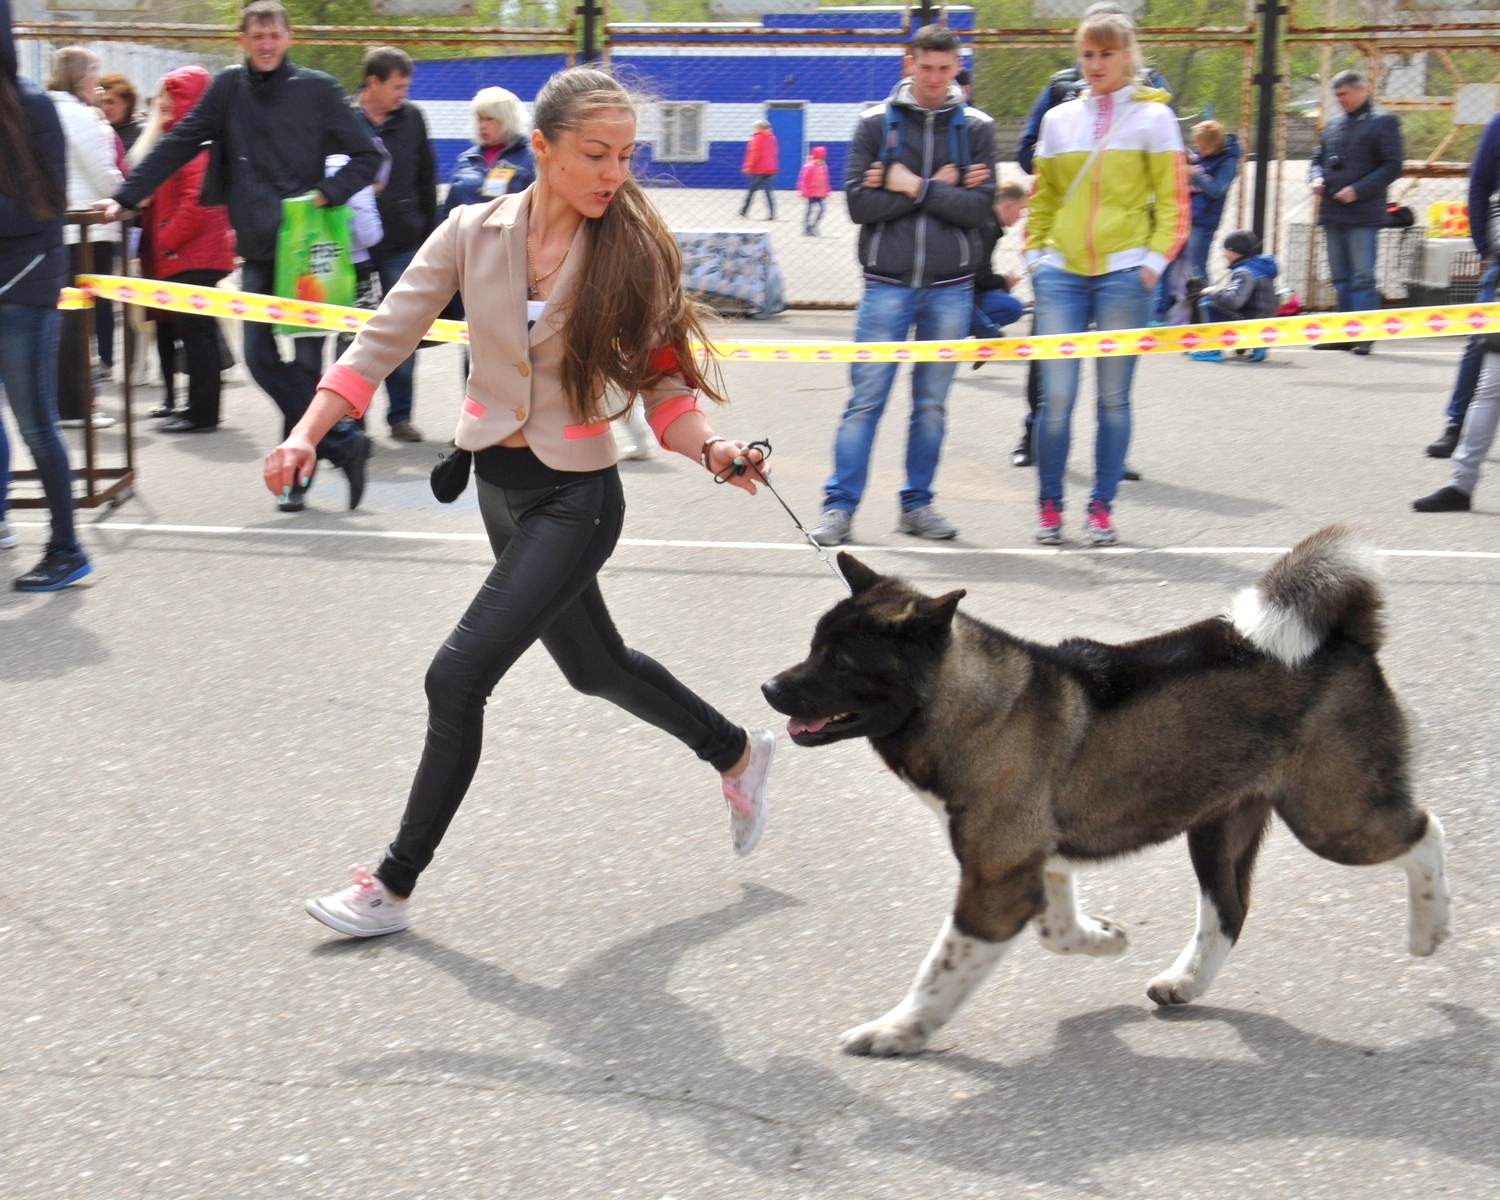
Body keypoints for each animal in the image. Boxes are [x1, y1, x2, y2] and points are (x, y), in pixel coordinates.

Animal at [768, 531, 1446, 1056]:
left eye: (840, 660)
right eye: (814, 647)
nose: (769, 687)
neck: (978, 705)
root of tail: (1349, 638)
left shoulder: (995, 882)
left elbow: (942, 969)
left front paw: (896, 1032)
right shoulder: (1033, 863)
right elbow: (1057, 929)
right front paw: (1104, 938)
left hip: (1333, 817)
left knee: (1424, 831)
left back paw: (1430, 927)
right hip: (1219, 827)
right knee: (1228, 910)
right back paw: (1184, 984)